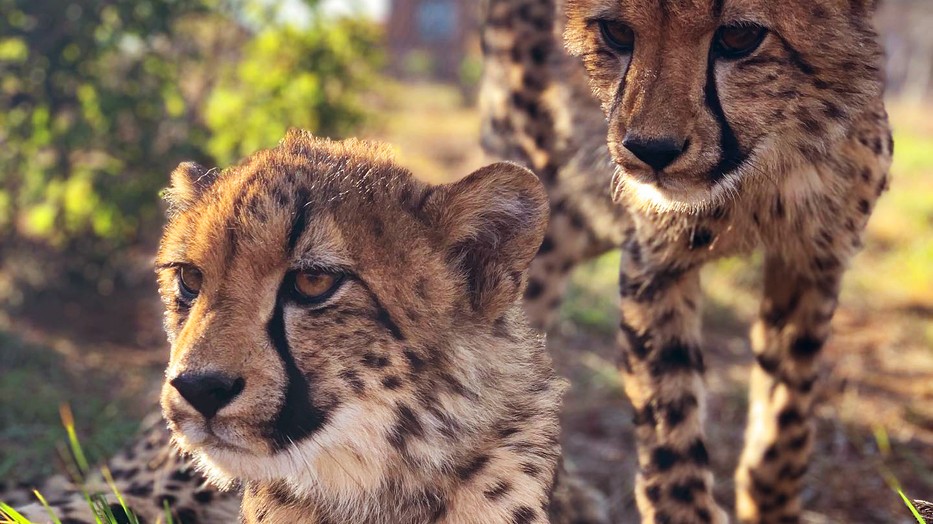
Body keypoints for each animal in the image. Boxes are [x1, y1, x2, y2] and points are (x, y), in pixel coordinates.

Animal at [480, 0, 893, 522]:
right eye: (615, 31)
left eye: (739, 37)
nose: (651, 151)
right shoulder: (656, 263)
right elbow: (669, 419)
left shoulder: (813, 262)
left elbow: (788, 407)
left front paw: (772, 505)